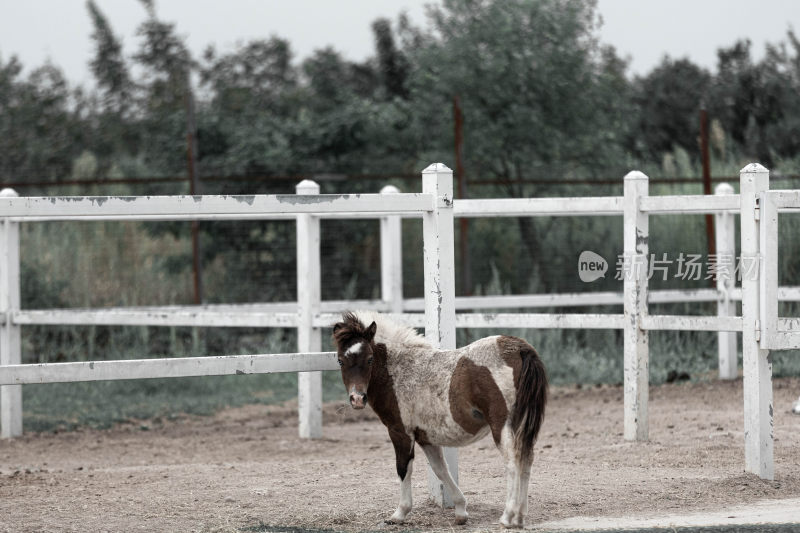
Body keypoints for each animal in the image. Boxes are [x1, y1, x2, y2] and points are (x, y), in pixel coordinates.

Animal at [328, 310, 548, 524]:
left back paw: (508, 515)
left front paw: (400, 513)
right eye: (340, 360)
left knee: (513, 463)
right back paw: (520, 516)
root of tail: (519, 348)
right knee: (526, 459)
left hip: (501, 426)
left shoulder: (400, 432)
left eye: (370, 359)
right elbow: (441, 469)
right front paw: (461, 511)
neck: (397, 371)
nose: (357, 399)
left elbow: (403, 468)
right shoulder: (426, 437)